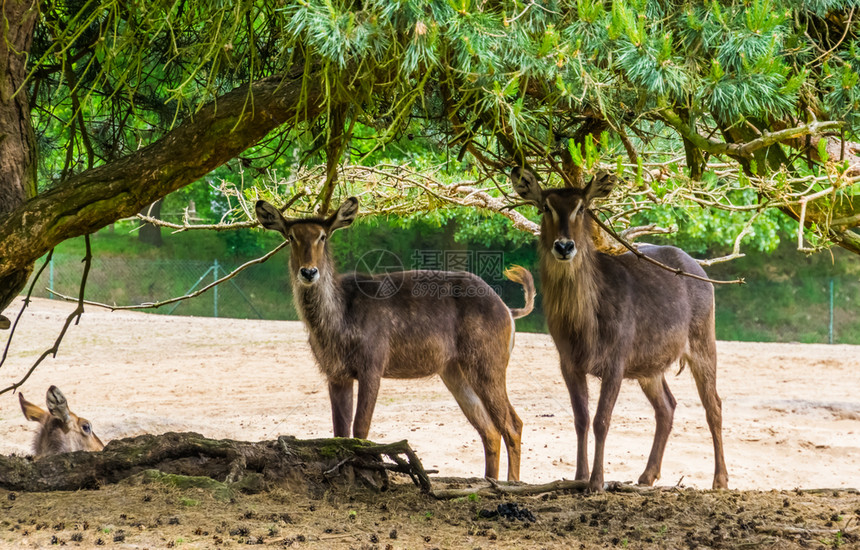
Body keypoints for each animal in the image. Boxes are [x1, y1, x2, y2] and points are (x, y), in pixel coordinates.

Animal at [256, 198, 536, 484]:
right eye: (291, 236)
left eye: (323, 236)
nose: (309, 271)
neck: (338, 325)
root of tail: (508, 311)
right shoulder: (336, 373)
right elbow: (339, 432)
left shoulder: (373, 363)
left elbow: (360, 429)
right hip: (454, 370)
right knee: (489, 430)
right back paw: (489, 481)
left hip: (488, 362)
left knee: (513, 424)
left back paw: (513, 483)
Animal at [512, 167, 728, 492]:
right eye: (545, 207)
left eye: (582, 207)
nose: (564, 246)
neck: (583, 326)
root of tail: (700, 270)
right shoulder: (568, 363)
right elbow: (581, 418)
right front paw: (578, 476)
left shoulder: (615, 360)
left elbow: (601, 420)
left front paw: (596, 482)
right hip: (650, 367)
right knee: (667, 406)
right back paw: (647, 475)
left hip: (703, 340)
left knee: (713, 404)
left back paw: (720, 480)